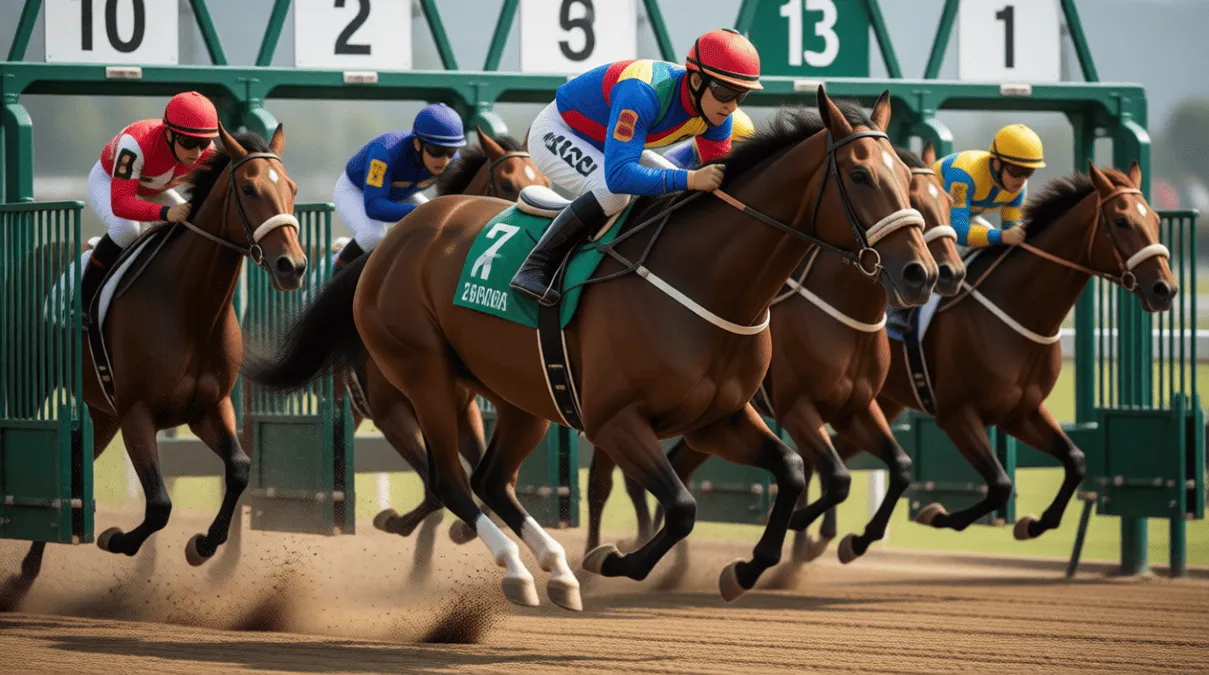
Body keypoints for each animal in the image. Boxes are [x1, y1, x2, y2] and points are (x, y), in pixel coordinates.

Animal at [2, 125, 306, 608]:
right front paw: (114, 538)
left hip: (101, 415)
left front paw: (202, 547)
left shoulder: (210, 408)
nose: (291, 266)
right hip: (31, 388)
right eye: (249, 188)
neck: (190, 308)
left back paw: (26, 574)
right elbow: (160, 504)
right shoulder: (137, 414)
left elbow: (239, 470)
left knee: (72, 470)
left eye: (291, 188)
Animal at [583, 143, 967, 562]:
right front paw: (800, 530)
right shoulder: (795, 406)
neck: (844, 307)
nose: (937, 274)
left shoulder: (854, 407)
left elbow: (897, 467)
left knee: (673, 467)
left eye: (947, 201)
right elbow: (837, 477)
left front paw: (837, 538)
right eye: (912, 196)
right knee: (603, 481)